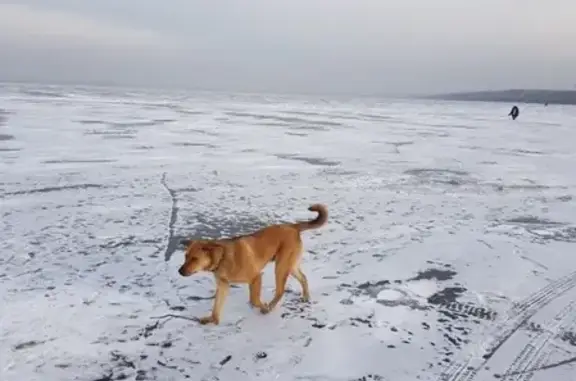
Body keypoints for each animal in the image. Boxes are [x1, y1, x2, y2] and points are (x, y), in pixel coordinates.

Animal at [178, 203, 326, 326]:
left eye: (195, 259)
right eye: (185, 257)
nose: (179, 271)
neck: (222, 258)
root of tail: (292, 226)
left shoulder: (256, 277)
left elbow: (255, 299)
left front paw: (263, 306)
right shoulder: (223, 285)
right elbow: (217, 306)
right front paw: (213, 320)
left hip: (281, 267)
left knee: (280, 291)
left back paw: (270, 307)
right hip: (290, 266)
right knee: (303, 278)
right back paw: (306, 296)